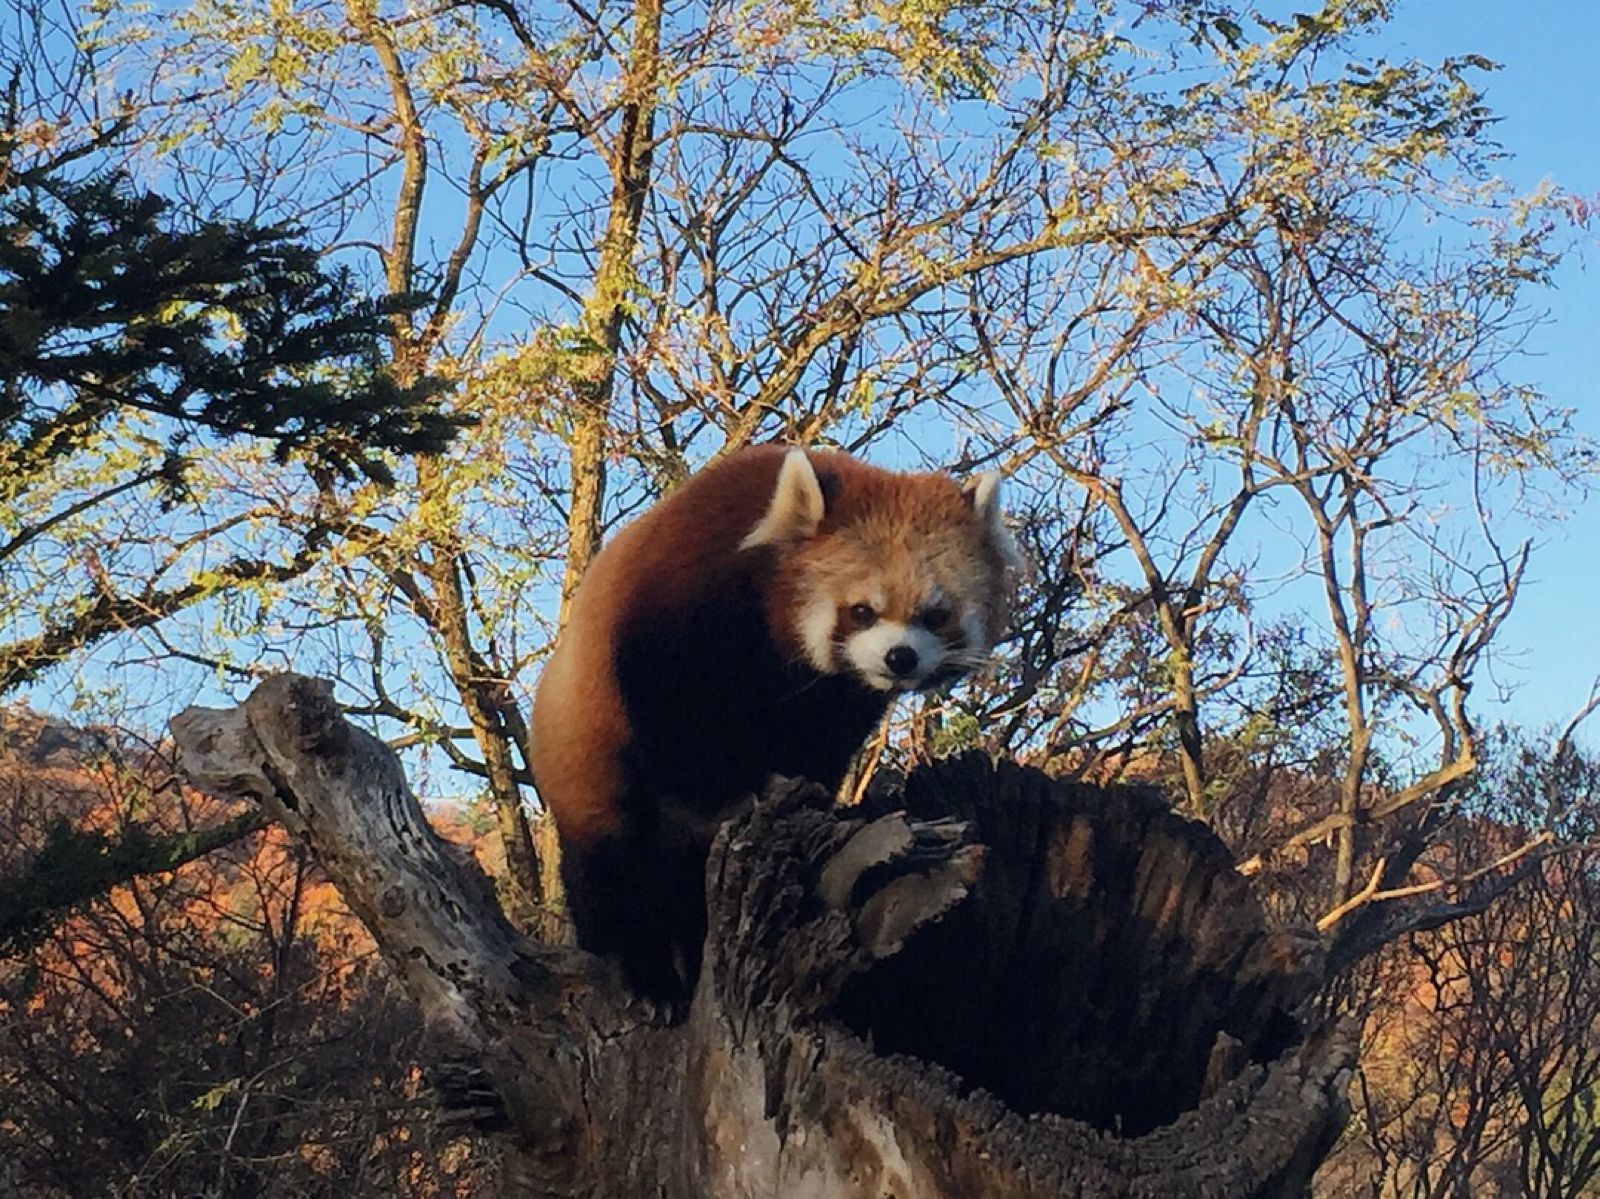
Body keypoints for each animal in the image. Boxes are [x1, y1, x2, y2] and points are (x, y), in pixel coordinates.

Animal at [531, 445, 1017, 1005]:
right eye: (862, 611)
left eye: (936, 615)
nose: (900, 658)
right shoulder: (676, 617)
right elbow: (678, 731)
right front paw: (727, 793)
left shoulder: (832, 702)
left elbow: (817, 750)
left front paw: (810, 794)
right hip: (589, 772)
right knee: (614, 875)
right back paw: (643, 973)